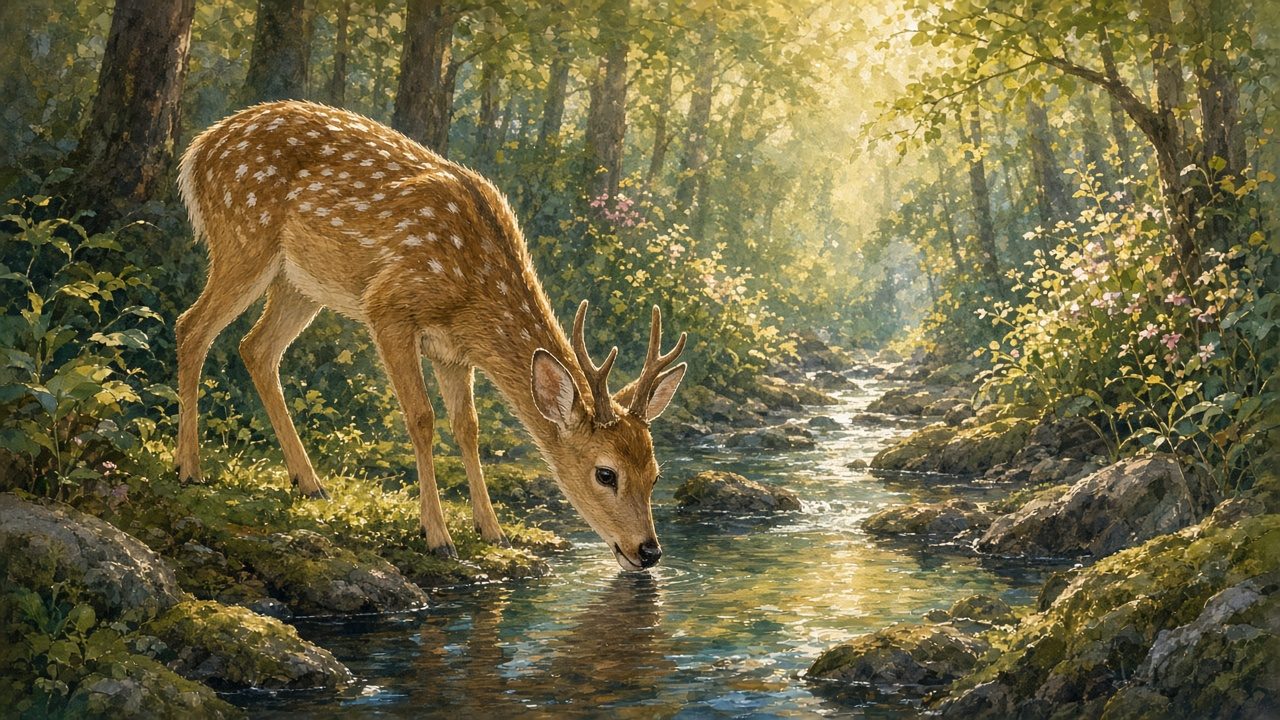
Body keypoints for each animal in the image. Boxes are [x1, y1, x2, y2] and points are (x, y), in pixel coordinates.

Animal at [174, 101, 687, 570]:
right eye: (606, 474)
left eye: (655, 474)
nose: (649, 551)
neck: (474, 292)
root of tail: (197, 150)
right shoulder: (388, 307)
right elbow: (422, 418)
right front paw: (438, 536)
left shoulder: (453, 351)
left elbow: (468, 427)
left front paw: (493, 530)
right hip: (244, 239)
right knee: (191, 326)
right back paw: (189, 468)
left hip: (300, 283)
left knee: (256, 348)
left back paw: (310, 483)